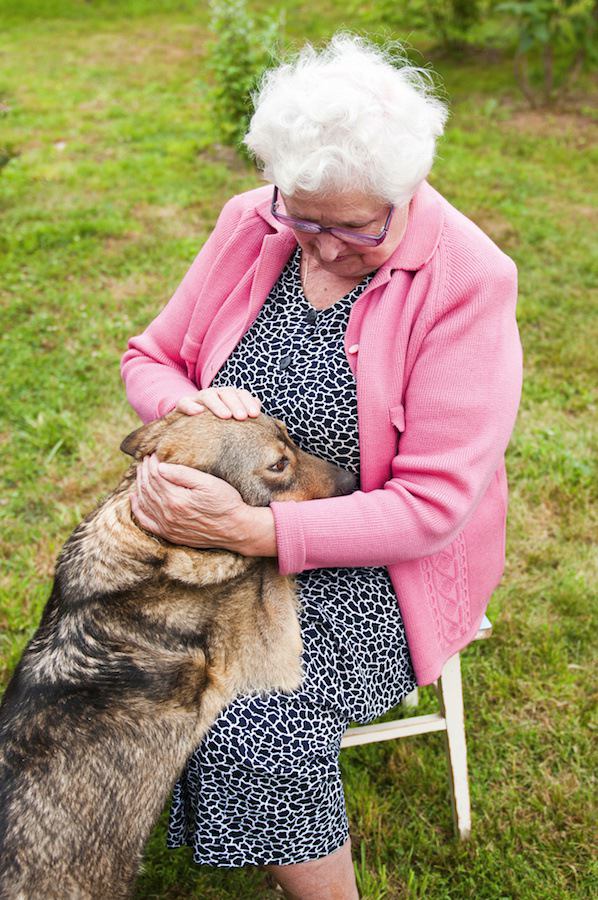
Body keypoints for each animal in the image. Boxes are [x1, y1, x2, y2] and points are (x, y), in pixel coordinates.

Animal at [0, 414, 356, 900]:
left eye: (290, 439)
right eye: (278, 465)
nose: (354, 482)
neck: (151, 540)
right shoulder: (275, 650)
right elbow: (271, 563)